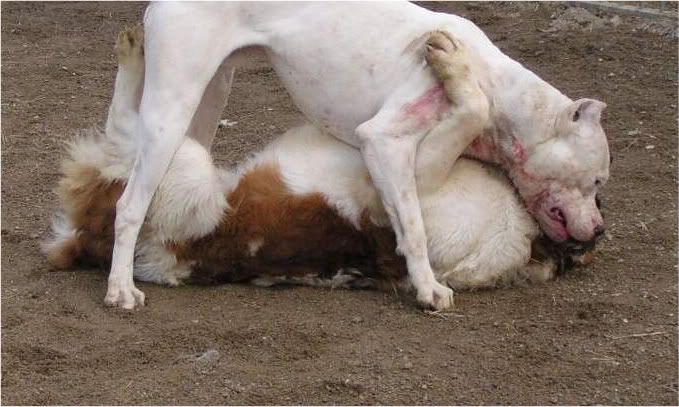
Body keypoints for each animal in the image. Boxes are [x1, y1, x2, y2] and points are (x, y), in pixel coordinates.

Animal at [106, 3, 612, 310]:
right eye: (599, 180)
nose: (600, 231)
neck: (499, 86)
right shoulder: (384, 145)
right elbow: (415, 230)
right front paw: (427, 288)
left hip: (207, 98)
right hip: (172, 112)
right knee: (128, 204)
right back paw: (120, 288)